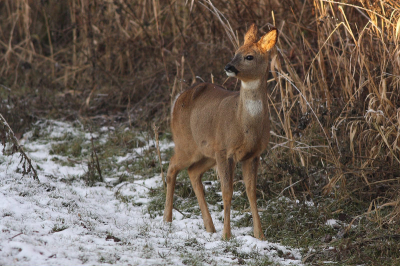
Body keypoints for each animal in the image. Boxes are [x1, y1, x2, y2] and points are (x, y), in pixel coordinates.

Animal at [164, 25, 276, 240]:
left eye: (249, 56)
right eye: (235, 52)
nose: (228, 67)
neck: (244, 124)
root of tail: (177, 99)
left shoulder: (253, 154)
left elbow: (251, 191)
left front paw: (260, 235)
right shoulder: (225, 150)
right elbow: (227, 191)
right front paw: (227, 235)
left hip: (207, 153)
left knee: (192, 172)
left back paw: (209, 226)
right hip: (186, 144)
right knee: (172, 166)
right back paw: (167, 219)